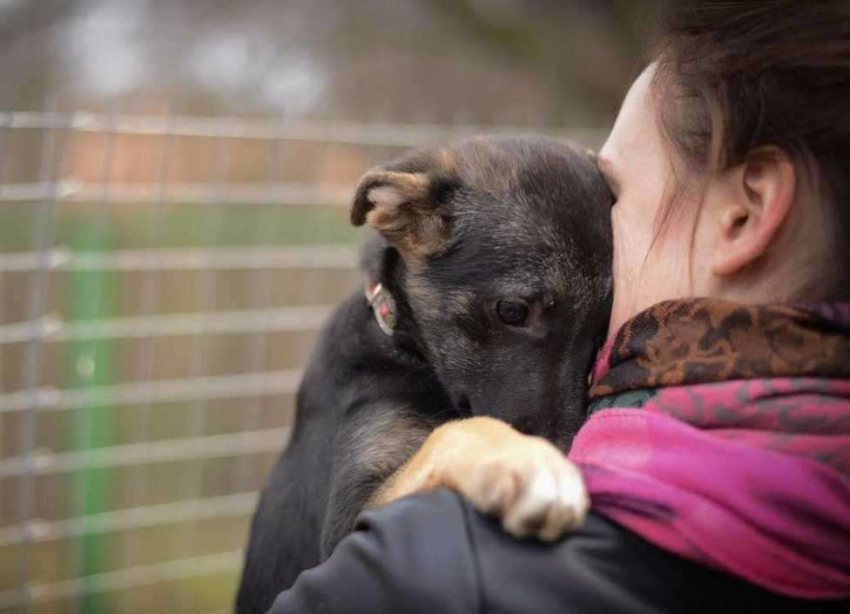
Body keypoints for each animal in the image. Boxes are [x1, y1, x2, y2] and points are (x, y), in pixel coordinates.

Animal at [235, 136, 612, 614]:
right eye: (512, 310)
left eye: (602, 333)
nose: (565, 449)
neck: (405, 351)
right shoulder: (346, 530)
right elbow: (454, 431)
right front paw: (527, 459)